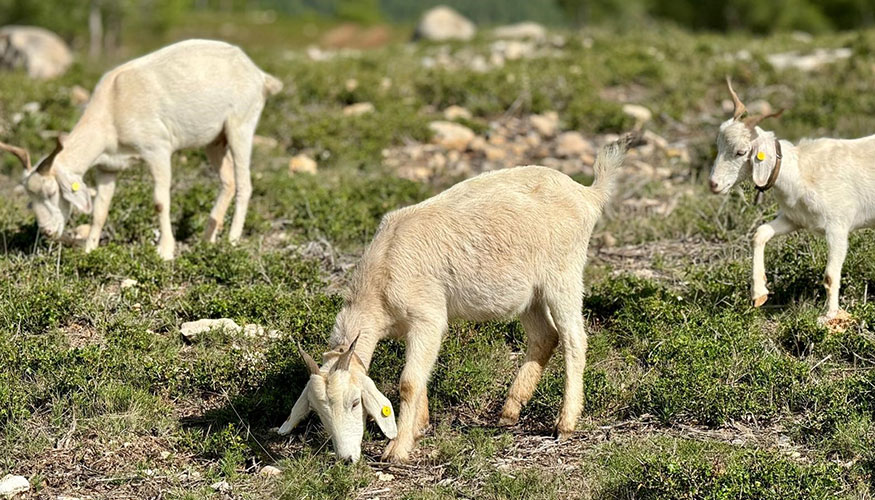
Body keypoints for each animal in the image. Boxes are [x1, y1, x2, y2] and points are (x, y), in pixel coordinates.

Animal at [0, 39, 280, 260]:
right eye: (29, 198)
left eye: (51, 192)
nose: (47, 231)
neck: (112, 107)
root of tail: (259, 74)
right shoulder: (107, 167)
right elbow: (100, 210)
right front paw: (89, 250)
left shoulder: (158, 150)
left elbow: (160, 202)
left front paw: (165, 252)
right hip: (214, 140)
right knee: (228, 182)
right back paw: (207, 241)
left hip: (241, 125)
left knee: (245, 184)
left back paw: (231, 241)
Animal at [278, 136, 632, 460]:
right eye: (318, 411)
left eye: (354, 402)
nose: (347, 458)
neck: (380, 278)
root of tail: (588, 194)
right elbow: (419, 378)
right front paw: (420, 426)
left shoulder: (428, 317)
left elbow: (408, 382)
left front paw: (398, 449)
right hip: (529, 294)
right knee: (545, 336)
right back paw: (510, 411)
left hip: (563, 274)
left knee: (574, 339)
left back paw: (565, 423)